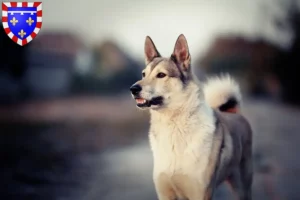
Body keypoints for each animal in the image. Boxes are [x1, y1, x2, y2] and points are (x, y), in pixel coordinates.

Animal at [129, 34, 253, 200]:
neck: (173, 125)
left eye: (161, 75)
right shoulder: (165, 193)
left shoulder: (201, 193)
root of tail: (233, 112)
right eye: (143, 74)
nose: (133, 89)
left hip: (241, 188)